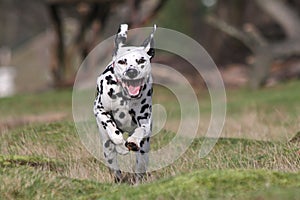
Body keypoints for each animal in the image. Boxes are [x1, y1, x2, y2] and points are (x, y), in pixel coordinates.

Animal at [93, 23, 155, 183]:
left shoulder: (145, 121)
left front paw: (132, 141)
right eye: (122, 62)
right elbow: (113, 132)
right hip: (107, 150)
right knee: (115, 166)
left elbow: (141, 130)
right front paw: (121, 147)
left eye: (141, 61)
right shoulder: (99, 110)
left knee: (140, 167)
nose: (131, 72)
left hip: (144, 153)